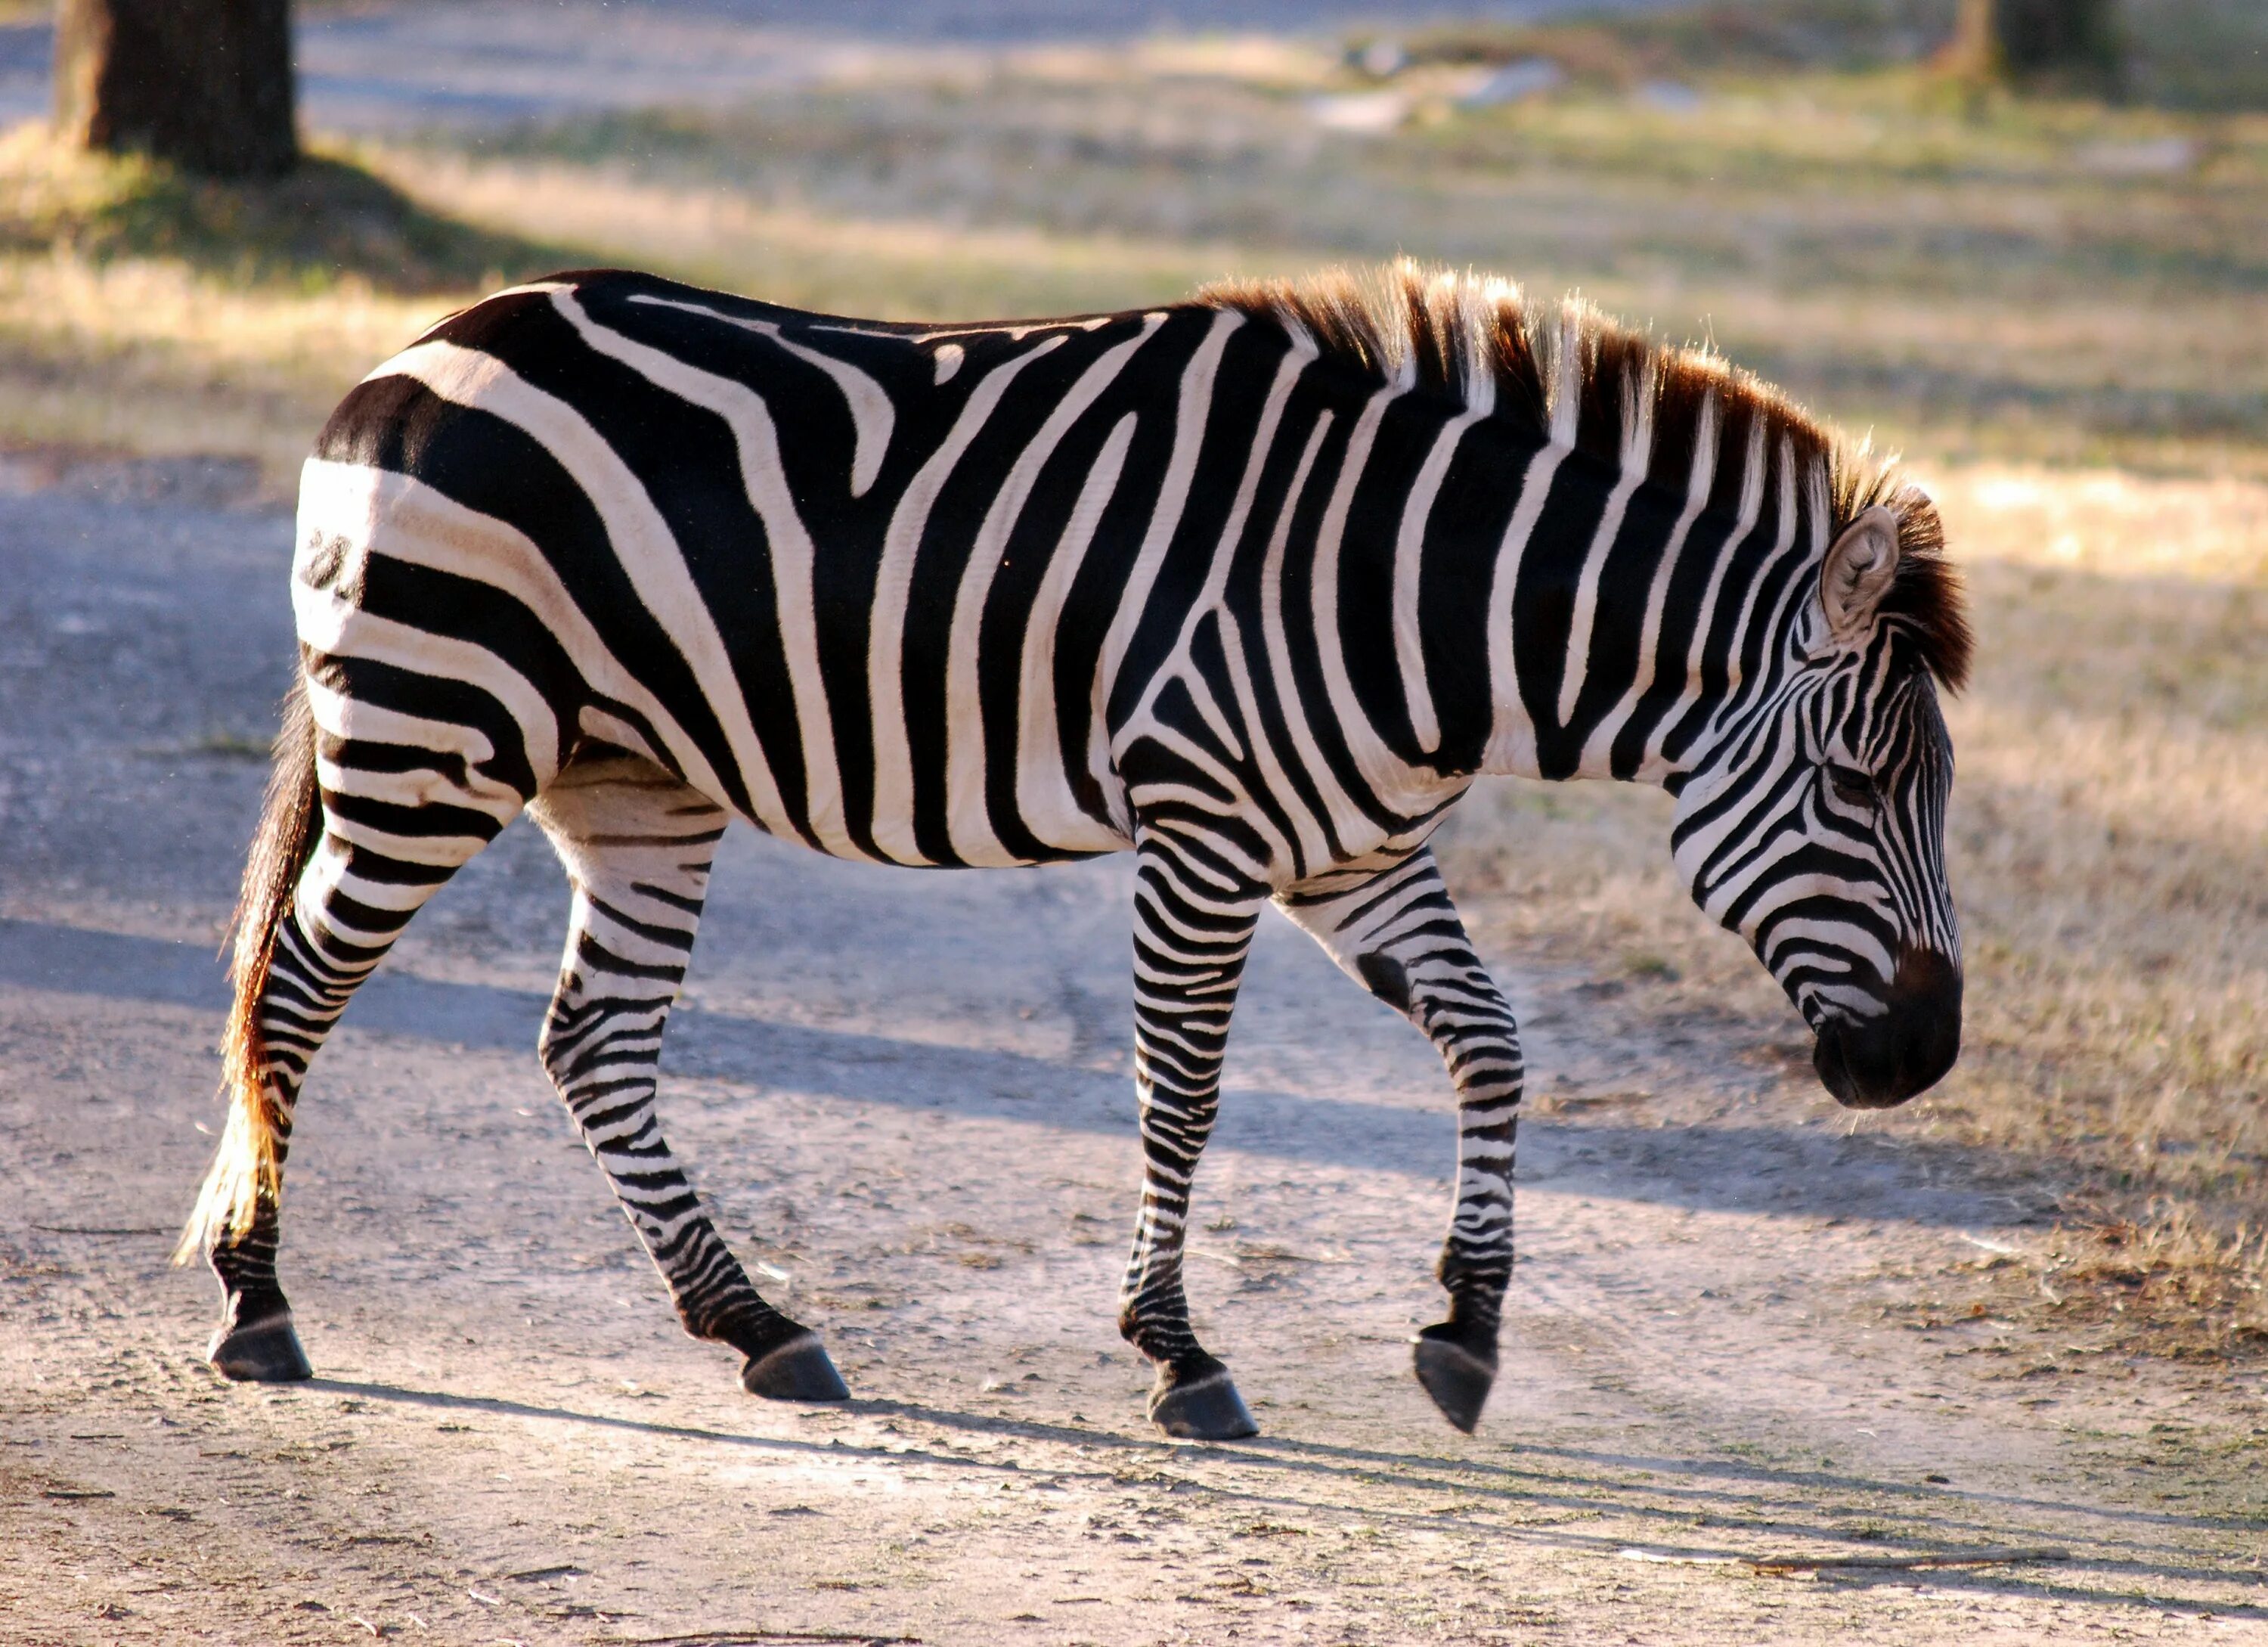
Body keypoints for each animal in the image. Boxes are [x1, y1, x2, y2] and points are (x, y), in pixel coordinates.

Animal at [179, 261, 1970, 1441]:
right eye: (1859, 780)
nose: (1926, 1061)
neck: (1407, 587)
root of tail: (415, 348)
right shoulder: (1206, 826)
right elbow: (1181, 1092)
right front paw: (1180, 1354)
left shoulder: (1349, 847)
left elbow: (1492, 1042)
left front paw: (1464, 1327)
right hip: (435, 733)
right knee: (292, 988)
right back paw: (256, 1302)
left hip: (632, 782)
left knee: (593, 1043)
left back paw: (762, 1325)